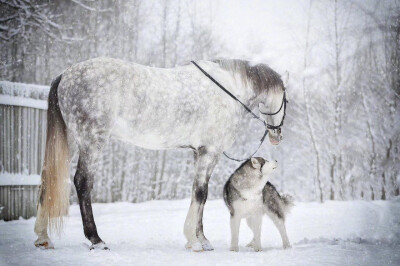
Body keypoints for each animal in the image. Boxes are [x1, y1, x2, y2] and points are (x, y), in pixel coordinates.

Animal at [32, 57, 286, 250]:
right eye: (285, 97)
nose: (277, 136)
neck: (227, 89)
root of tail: (65, 75)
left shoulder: (201, 153)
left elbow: (198, 193)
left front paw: (201, 239)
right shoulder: (209, 152)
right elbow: (201, 193)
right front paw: (194, 240)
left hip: (71, 141)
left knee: (48, 178)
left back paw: (43, 238)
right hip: (91, 141)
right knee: (83, 182)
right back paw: (96, 240)